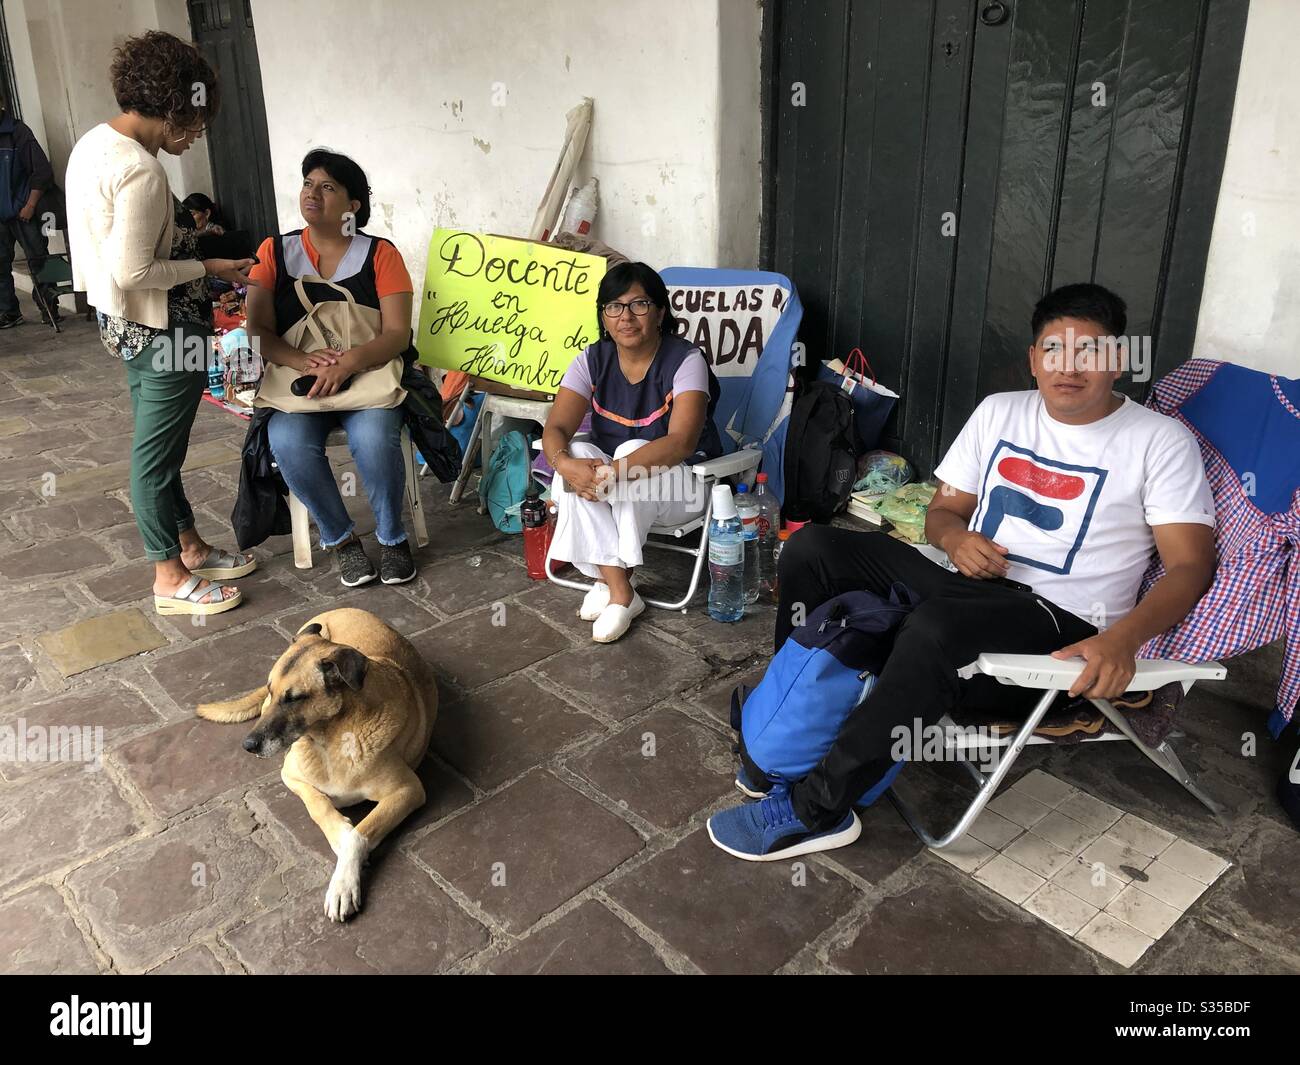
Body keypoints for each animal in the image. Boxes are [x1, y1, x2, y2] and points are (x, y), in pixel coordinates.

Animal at [193, 611, 436, 920]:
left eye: (294, 698)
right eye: (272, 691)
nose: (248, 746)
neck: (329, 738)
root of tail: (343, 608)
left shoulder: (408, 790)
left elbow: (359, 835)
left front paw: (343, 882)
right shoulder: (291, 776)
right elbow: (318, 805)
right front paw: (340, 833)